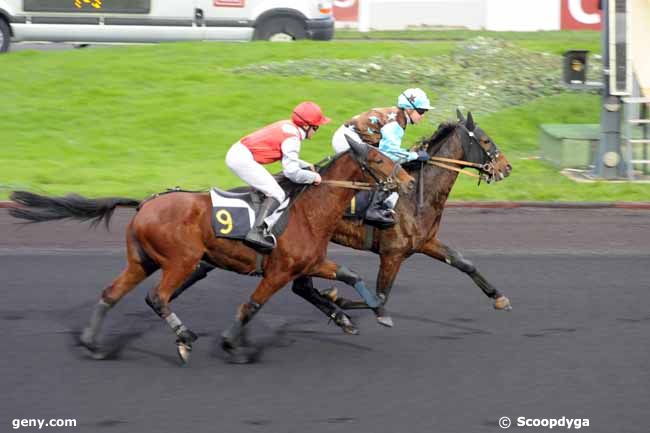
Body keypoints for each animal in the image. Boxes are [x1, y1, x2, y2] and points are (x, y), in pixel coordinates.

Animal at [8, 138, 410, 362]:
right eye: (378, 160)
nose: (406, 181)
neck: (308, 209)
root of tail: (145, 203)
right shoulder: (280, 271)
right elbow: (250, 306)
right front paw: (232, 344)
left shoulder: (310, 263)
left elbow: (350, 275)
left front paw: (374, 312)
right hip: (181, 260)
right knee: (157, 297)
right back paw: (184, 337)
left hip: (142, 261)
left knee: (111, 293)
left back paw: (93, 344)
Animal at [318, 109, 512, 326]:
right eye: (486, 140)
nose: (507, 167)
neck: (418, 197)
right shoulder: (392, 254)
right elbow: (380, 297)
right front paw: (334, 297)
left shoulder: (425, 242)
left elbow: (462, 262)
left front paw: (499, 297)